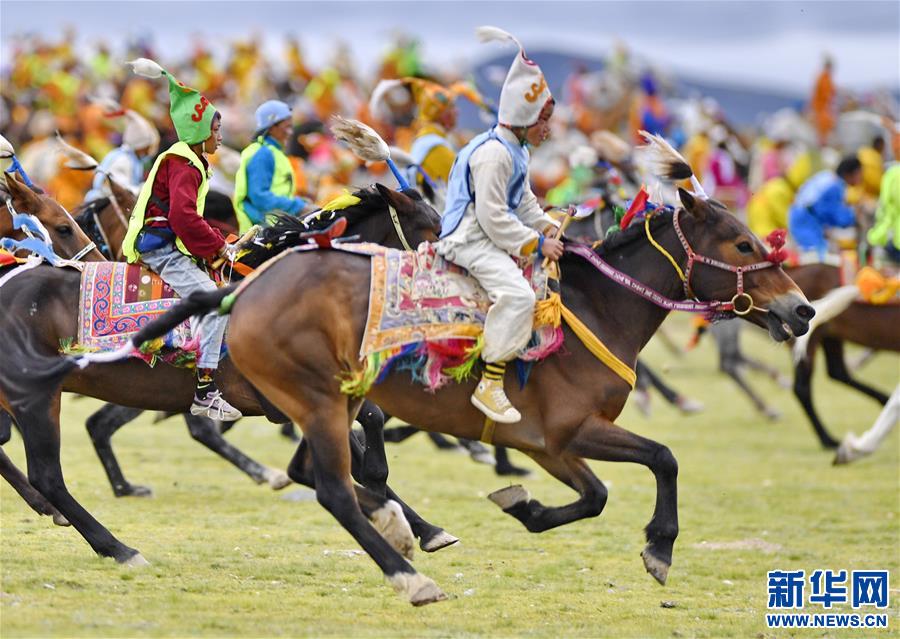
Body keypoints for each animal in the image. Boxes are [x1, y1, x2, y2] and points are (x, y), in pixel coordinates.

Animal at [119, 144, 816, 604]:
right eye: (744, 244)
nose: (802, 309)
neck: (595, 310)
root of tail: (247, 291)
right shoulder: (563, 435)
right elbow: (651, 465)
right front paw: (656, 547)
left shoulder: (551, 444)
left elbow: (608, 488)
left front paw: (524, 505)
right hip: (315, 399)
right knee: (329, 484)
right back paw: (410, 569)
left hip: (325, 400)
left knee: (315, 471)